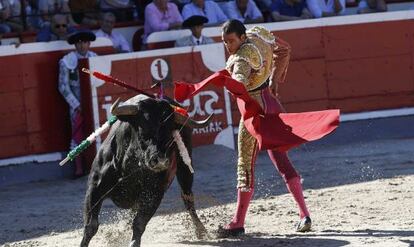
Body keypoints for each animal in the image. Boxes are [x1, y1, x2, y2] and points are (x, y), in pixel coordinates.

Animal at [80, 93, 210, 246]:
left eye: (170, 135)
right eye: (143, 131)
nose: (160, 161)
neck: (130, 166)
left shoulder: (153, 194)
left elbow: (139, 223)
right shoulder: (94, 188)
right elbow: (91, 225)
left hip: (185, 170)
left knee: (187, 198)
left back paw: (201, 230)